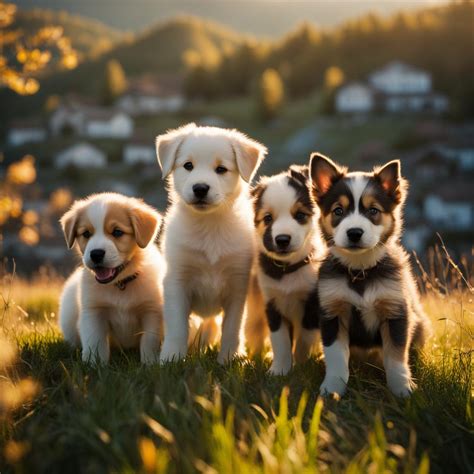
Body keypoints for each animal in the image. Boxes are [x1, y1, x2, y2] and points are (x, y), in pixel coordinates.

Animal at [58, 193, 165, 362]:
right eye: (86, 234)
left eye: (117, 232)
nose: (96, 254)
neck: (120, 285)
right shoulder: (93, 312)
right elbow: (95, 343)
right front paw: (94, 365)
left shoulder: (152, 312)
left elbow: (149, 341)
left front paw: (150, 363)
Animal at [156, 122, 266, 362]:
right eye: (188, 165)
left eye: (221, 169)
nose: (200, 188)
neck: (209, 227)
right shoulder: (177, 281)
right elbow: (177, 326)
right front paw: (171, 358)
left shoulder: (238, 283)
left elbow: (232, 327)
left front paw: (230, 358)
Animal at [246, 166, 324, 374]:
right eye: (267, 218)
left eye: (300, 215)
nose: (282, 239)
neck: (287, 269)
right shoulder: (271, 305)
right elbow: (280, 341)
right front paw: (279, 370)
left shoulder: (311, 307)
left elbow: (304, 341)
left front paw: (301, 366)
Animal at [310, 153, 432, 396]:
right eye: (338, 211)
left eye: (373, 210)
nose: (354, 233)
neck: (360, 271)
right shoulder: (332, 312)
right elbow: (336, 357)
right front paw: (332, 388)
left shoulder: (395, 311)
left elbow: (396, 357)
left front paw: (402, 389)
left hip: (420, 324)